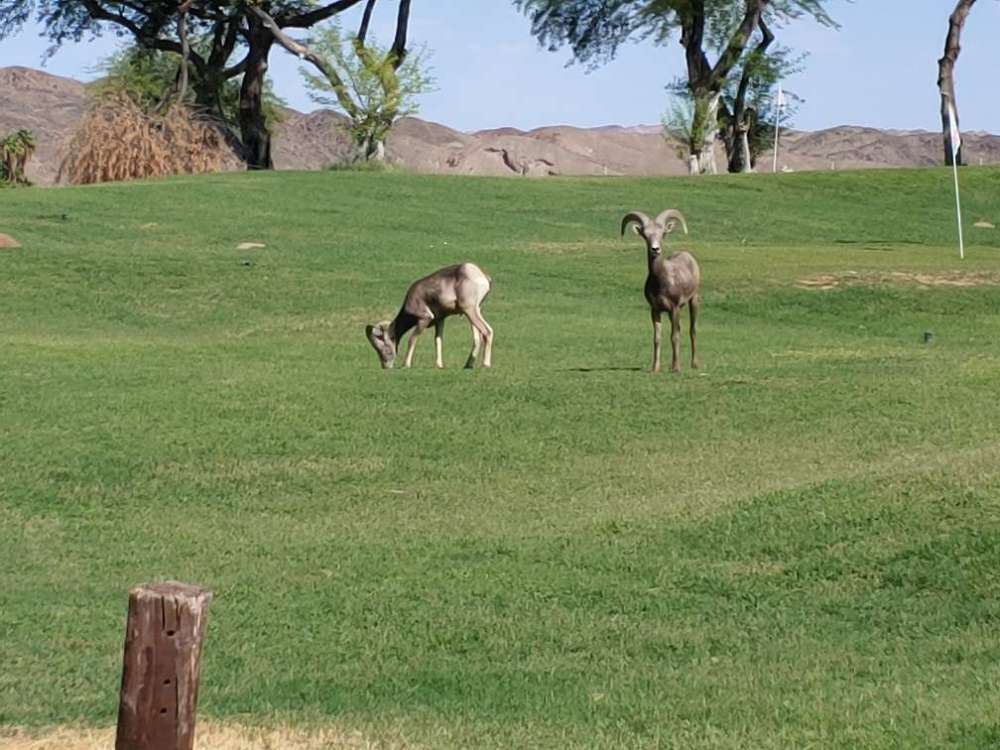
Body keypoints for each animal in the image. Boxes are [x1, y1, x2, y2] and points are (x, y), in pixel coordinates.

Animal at [365, 263, 494, 369]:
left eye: (383, 348)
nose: (385, 366)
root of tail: (483, 277)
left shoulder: (424, 319)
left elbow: (412, 339)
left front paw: (406, 364)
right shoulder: (440, 320)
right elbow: (438, 340)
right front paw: (439, 365)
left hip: (470, 310)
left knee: (487, 331)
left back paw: (485, 365)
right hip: (474, 311)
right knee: (477, 338)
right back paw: (468, 365)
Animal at [620, 209, 700, 373]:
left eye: (663, 233)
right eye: (645, 235)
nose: (655, 249)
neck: (661, 283)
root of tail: (689, 257)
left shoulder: (674, 308)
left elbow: (674, 336)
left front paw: (676, 368)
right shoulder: (656, 310)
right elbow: (657, 338)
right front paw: (655, 368)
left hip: (693, 300)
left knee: (692, 330)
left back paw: (694, 364)